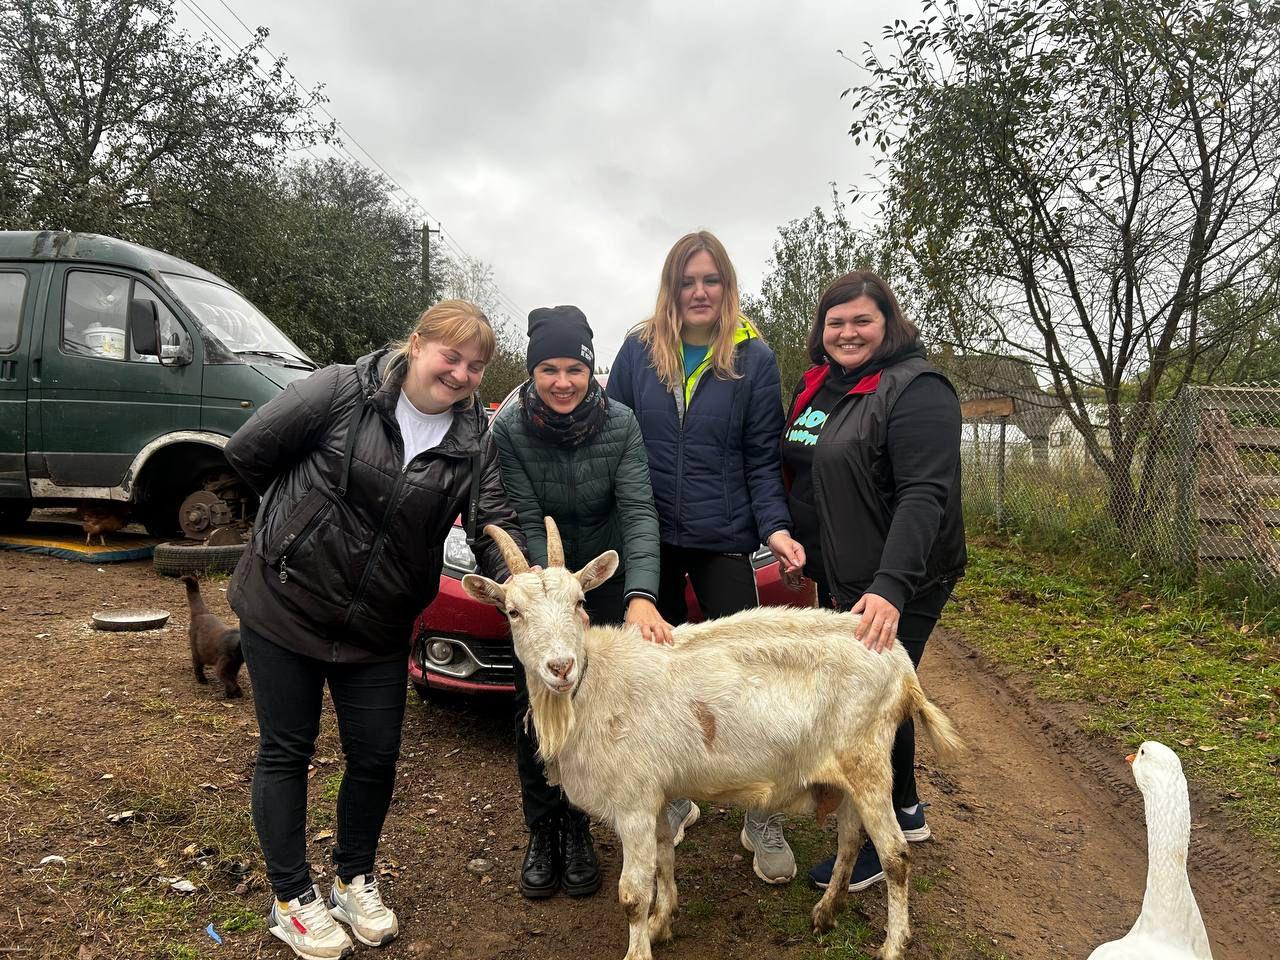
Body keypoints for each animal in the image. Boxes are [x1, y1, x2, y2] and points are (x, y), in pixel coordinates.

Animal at [465, 527, 962, 960]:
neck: (596, 684)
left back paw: (893, 945)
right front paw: (662, 923)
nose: (561, 667)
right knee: (850, 839)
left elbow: (632, 893)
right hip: (845, 773)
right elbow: (664, 857)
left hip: (868, 760)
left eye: (579, 602)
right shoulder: (655, 794)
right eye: (512, 612)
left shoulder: (632, 801)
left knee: (895, 854)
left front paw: (639, 945)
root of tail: (901, 664)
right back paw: (825, 913)